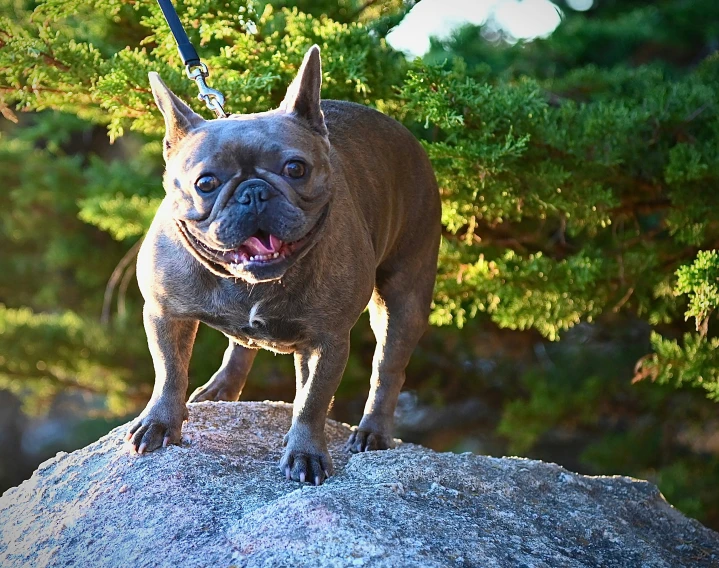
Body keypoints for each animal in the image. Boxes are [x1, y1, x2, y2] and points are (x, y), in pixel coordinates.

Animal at [126, 46, 442, 486]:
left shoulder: (327, 341)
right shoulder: (164, 313)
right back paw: (222, 389)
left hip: (404, 296)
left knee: (388, 365)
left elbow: (312, 400)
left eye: (296, 169)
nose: (255, 192)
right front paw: (160, 422)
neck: (249, 283)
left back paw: (373, 431)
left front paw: (306, 452)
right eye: (206, 183)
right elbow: (169, 371)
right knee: (240, 346)